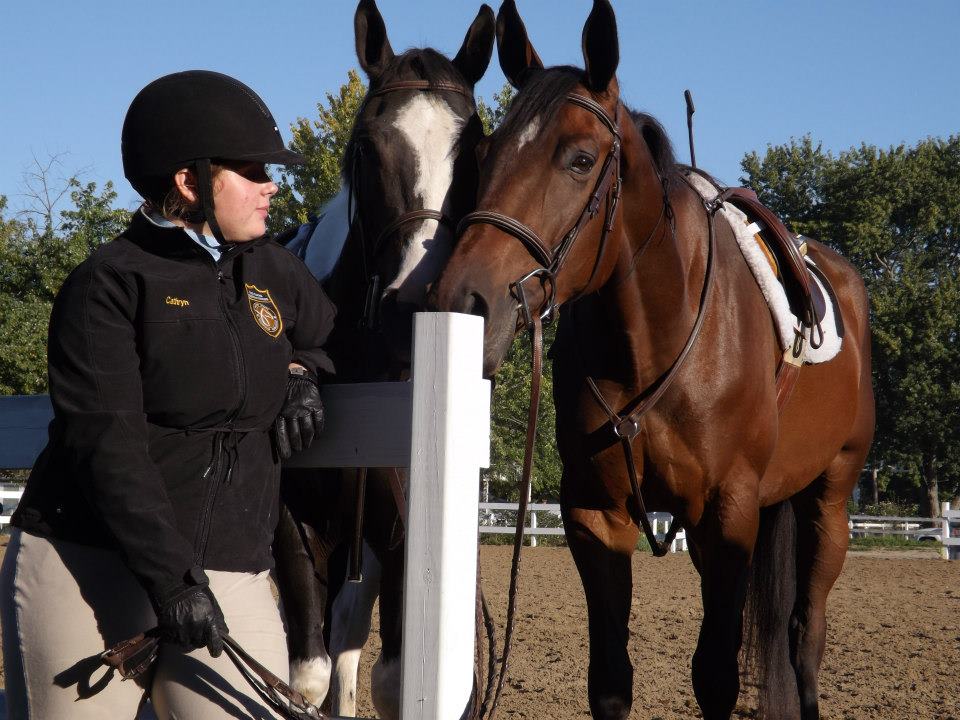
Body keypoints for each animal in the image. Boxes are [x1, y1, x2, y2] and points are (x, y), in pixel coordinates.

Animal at [432, 1, 872, 720]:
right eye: (484, 154)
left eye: (581, 159)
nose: (462, 300)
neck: (654, 346)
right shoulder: (596, 518)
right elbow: (610, 679)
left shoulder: (728, 516)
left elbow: (715, 676)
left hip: (830, 500)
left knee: (806, 636)